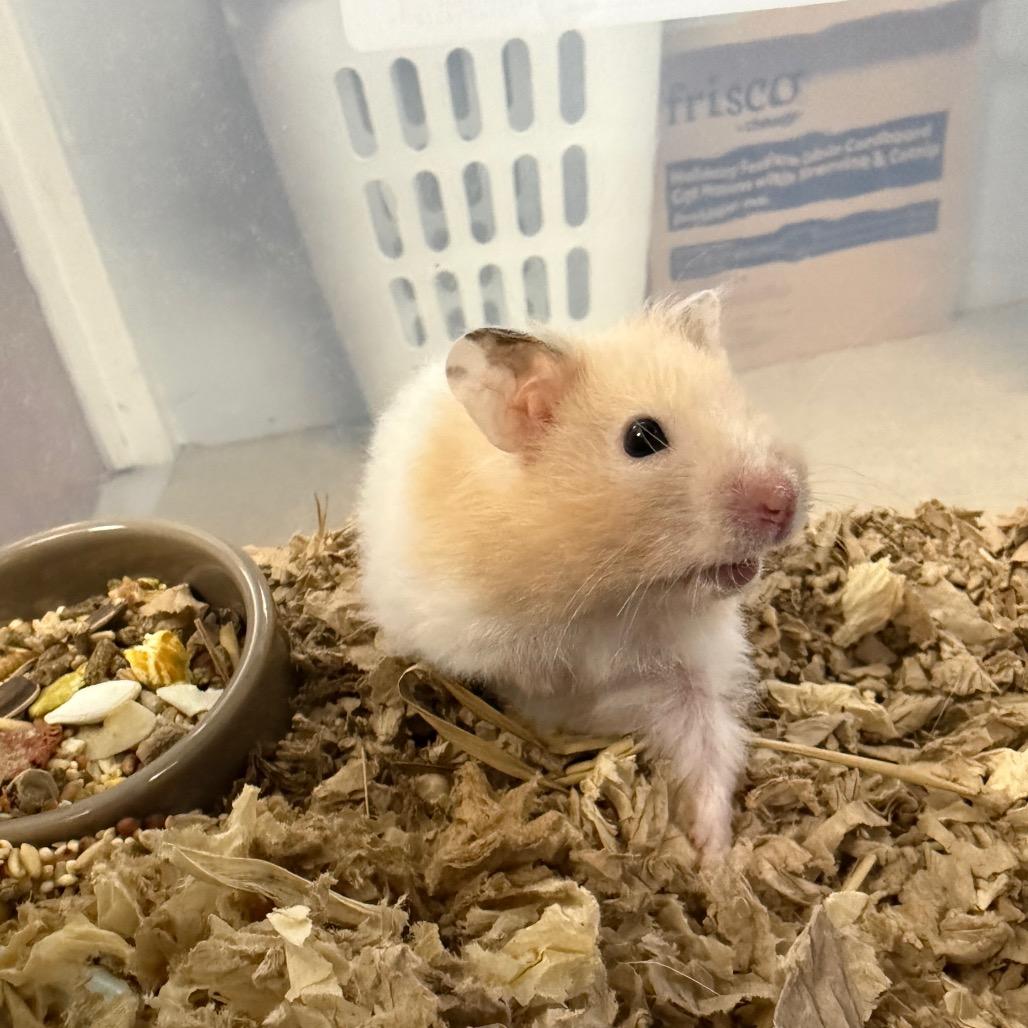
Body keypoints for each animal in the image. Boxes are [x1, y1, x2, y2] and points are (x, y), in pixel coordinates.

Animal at [356, 291, 807, 857]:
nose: (785, 502)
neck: (613, 598)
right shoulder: (478, 636)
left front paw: (713, 855)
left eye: (742, 403)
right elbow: (531, 680)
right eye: (641, 437)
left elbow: (708, 750)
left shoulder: (691, 678)